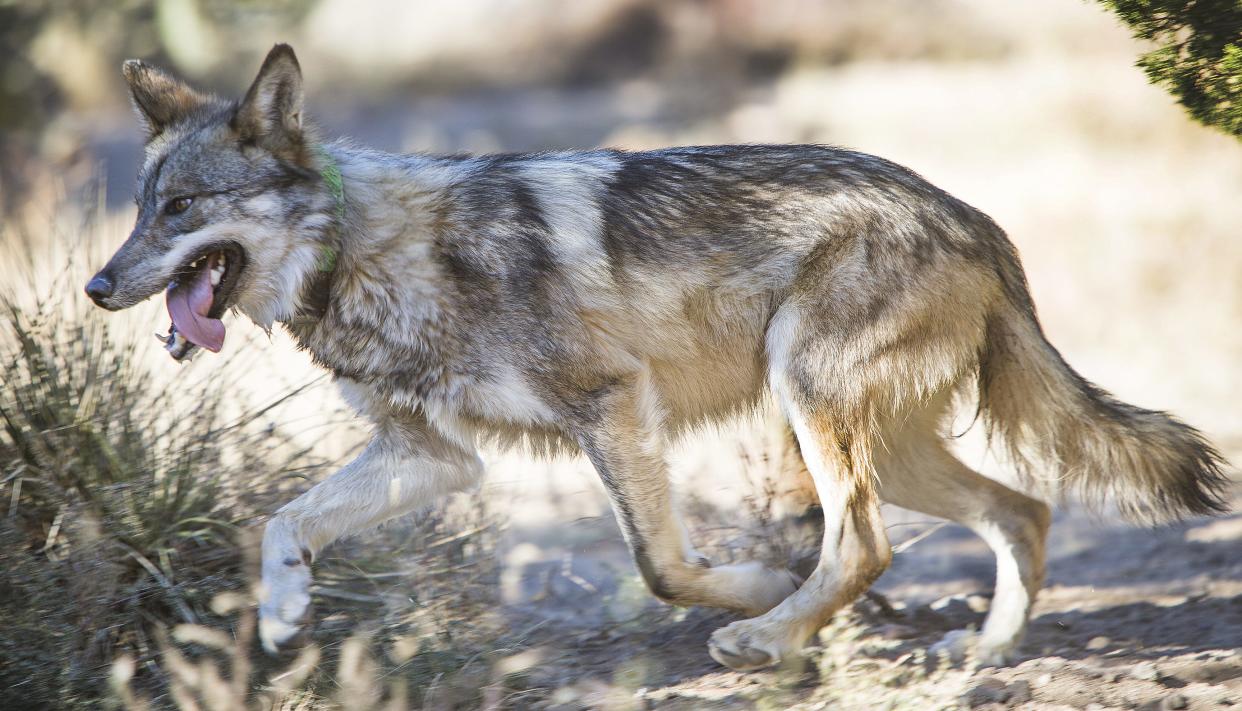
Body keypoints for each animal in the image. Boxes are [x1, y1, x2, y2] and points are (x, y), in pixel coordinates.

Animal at [87, 45, 1232, 671]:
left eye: (181, 209)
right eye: (139, 210)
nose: (96, 286)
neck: (366, 250)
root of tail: (977, 219)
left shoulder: (612, 406)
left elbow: (665, 566)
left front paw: (756, 593)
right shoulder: (435, 458)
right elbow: (286, 522)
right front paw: (282, 614)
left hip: (813, 406)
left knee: (866, 544)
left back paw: (770, 640)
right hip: (883, 443)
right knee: (1020, 512)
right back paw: (977, 655)